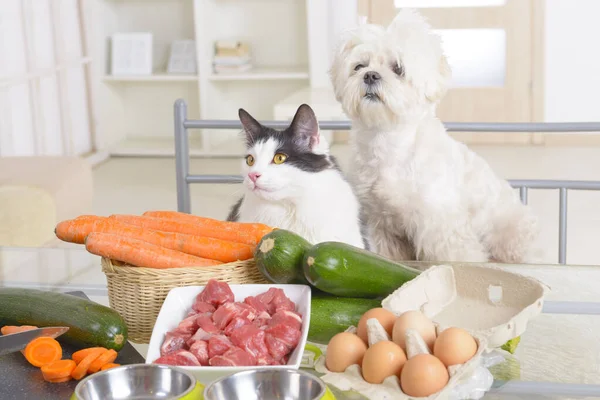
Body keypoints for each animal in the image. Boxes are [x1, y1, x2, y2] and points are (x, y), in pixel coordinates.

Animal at [328, 8, 540, 262]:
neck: (390, 144)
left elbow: (457, 256)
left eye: (398, 68)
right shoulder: (382, 225)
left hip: (514, 239)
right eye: (359, 66)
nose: (370, 75)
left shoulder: (441, 225)